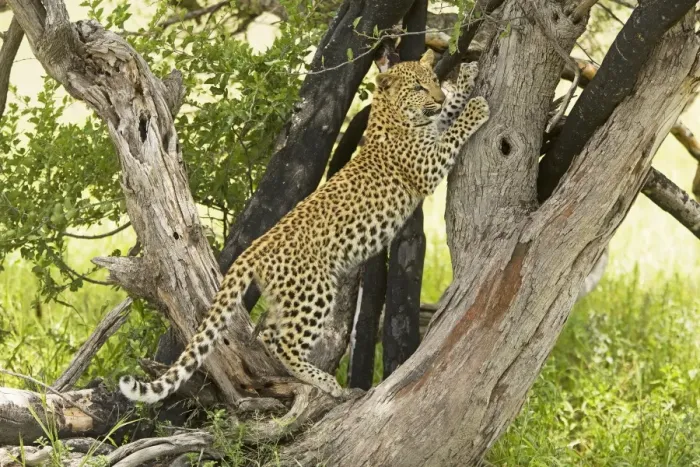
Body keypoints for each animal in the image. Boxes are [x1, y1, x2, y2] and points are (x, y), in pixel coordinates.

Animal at [119, 49, 490, 403]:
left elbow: (446, 118)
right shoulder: (426, 166)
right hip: (315, 290)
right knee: (285, 342)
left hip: (287, 298)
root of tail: (254, 248)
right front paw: (475, 107)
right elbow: (452, 132)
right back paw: (326, 381)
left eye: (433, 81)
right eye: (417, 88)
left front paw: (466, 80)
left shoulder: (431, 133)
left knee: (269, 335)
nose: (437, 97)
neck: (392, 115)